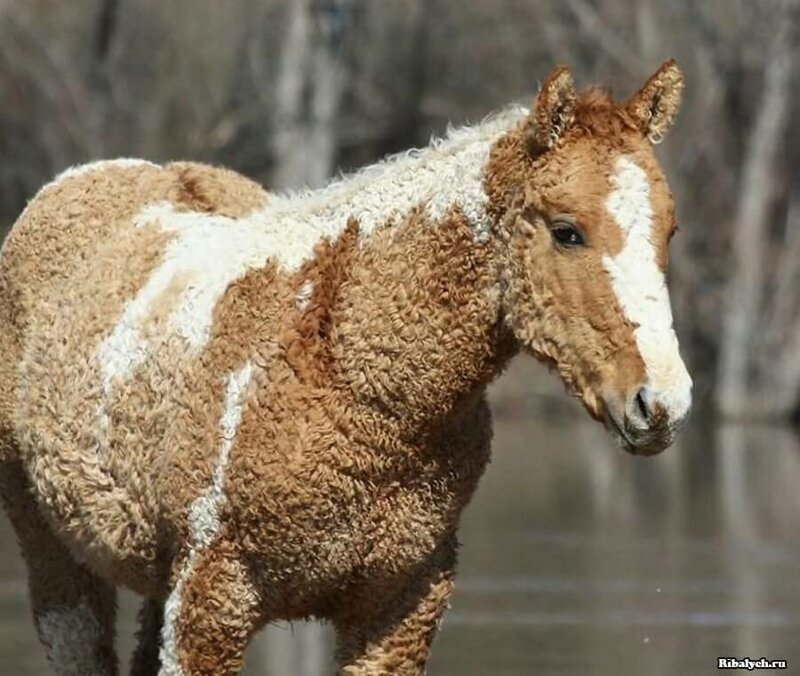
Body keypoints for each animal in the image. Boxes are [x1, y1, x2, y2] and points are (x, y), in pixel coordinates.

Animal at [0, 60, 692, 672]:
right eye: (567, 230)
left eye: (669, 232)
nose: (662, 403)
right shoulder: (211, 599)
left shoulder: (399, 606)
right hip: (56, 556)